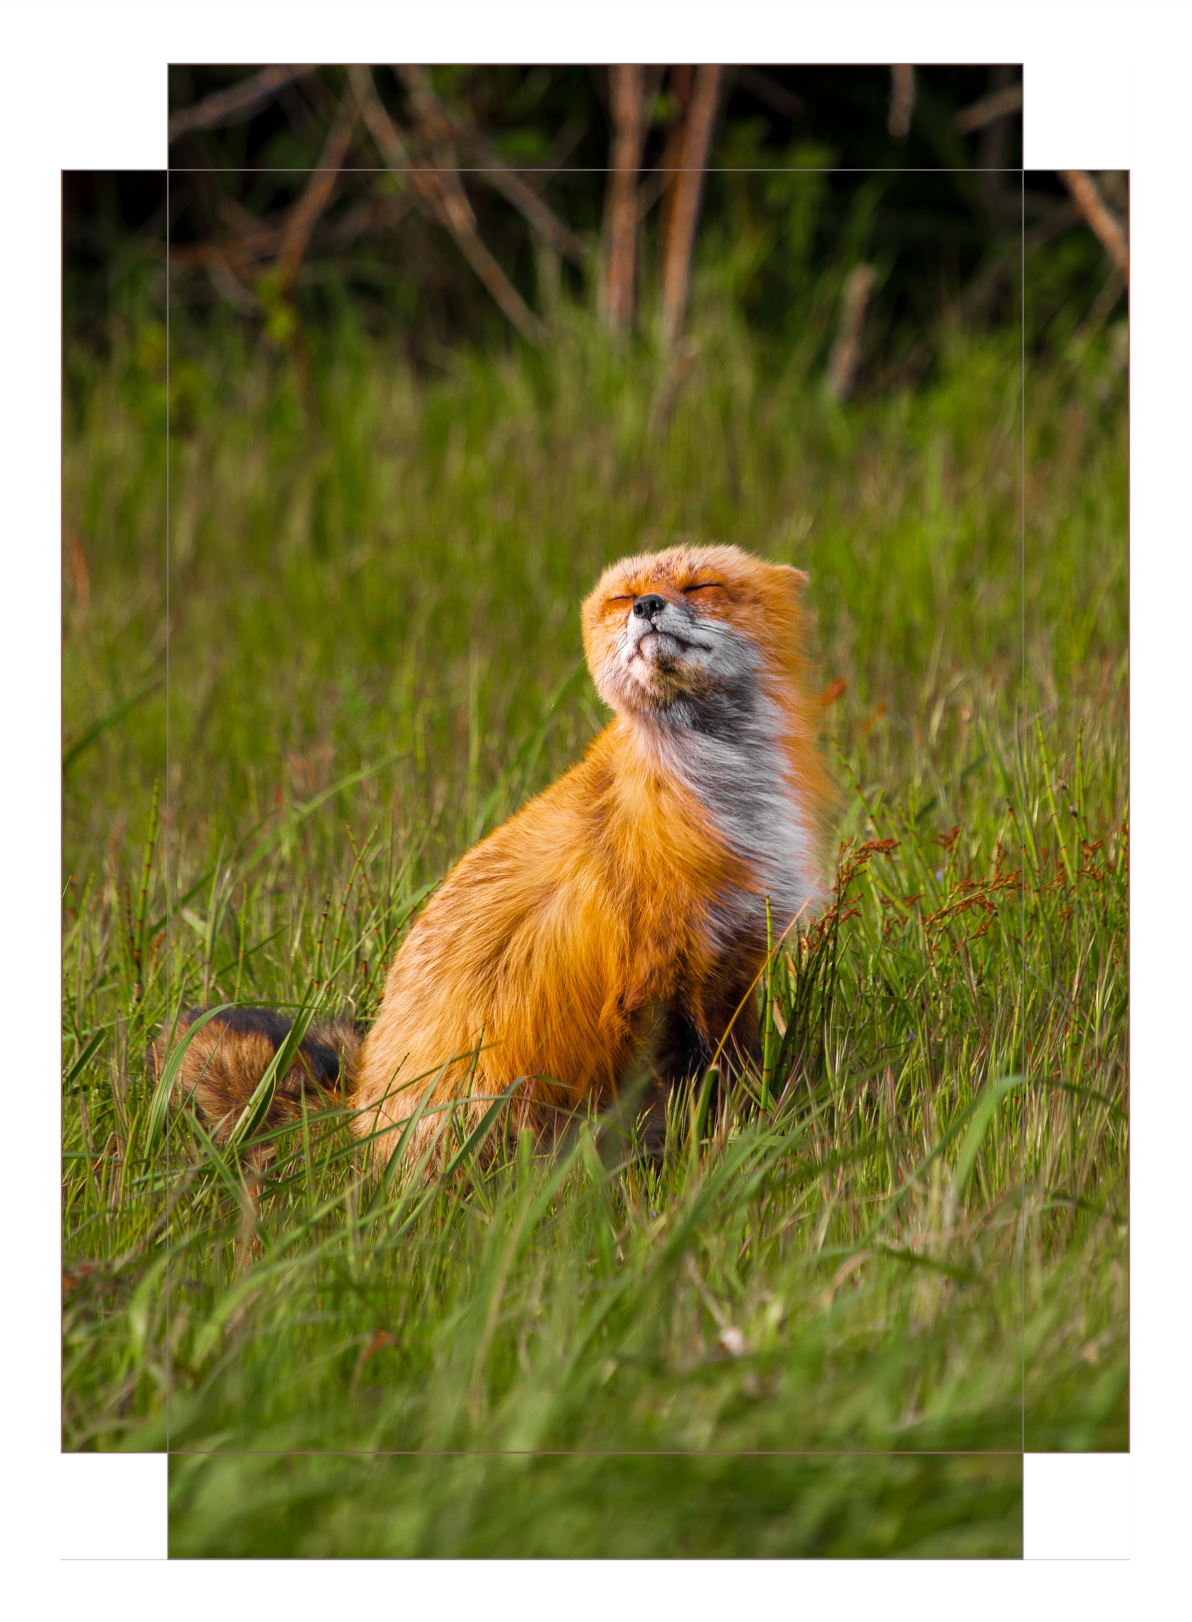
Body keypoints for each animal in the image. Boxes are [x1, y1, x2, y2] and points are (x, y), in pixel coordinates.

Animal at [165, 551, 830, 1174]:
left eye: (701, 585)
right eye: (622, 598)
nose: (647, 607)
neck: (720, 797)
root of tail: (358, 1113)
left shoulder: (734, 962)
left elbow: (739, 1078)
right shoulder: (653, 977)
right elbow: (694, 1094)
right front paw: (710, 1156)